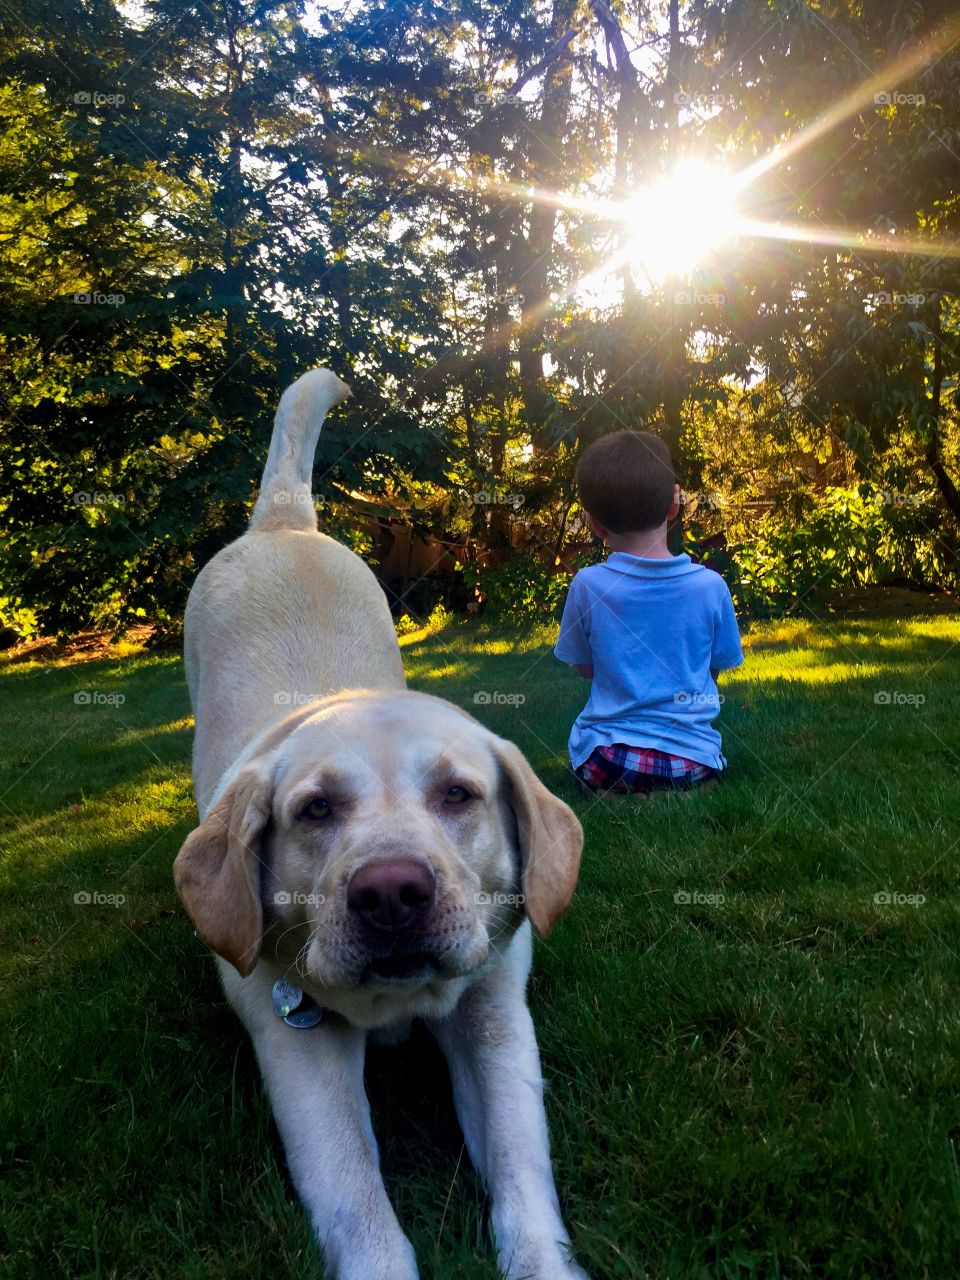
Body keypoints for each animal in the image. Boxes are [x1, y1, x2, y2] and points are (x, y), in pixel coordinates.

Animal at [176, 368, 591, 1280]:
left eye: (459, 795)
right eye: (315, 810)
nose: (393, 893)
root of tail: (284, 521)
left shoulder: (497, 1017)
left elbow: (521, 1166)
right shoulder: (297, 1042)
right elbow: (357, 1201)